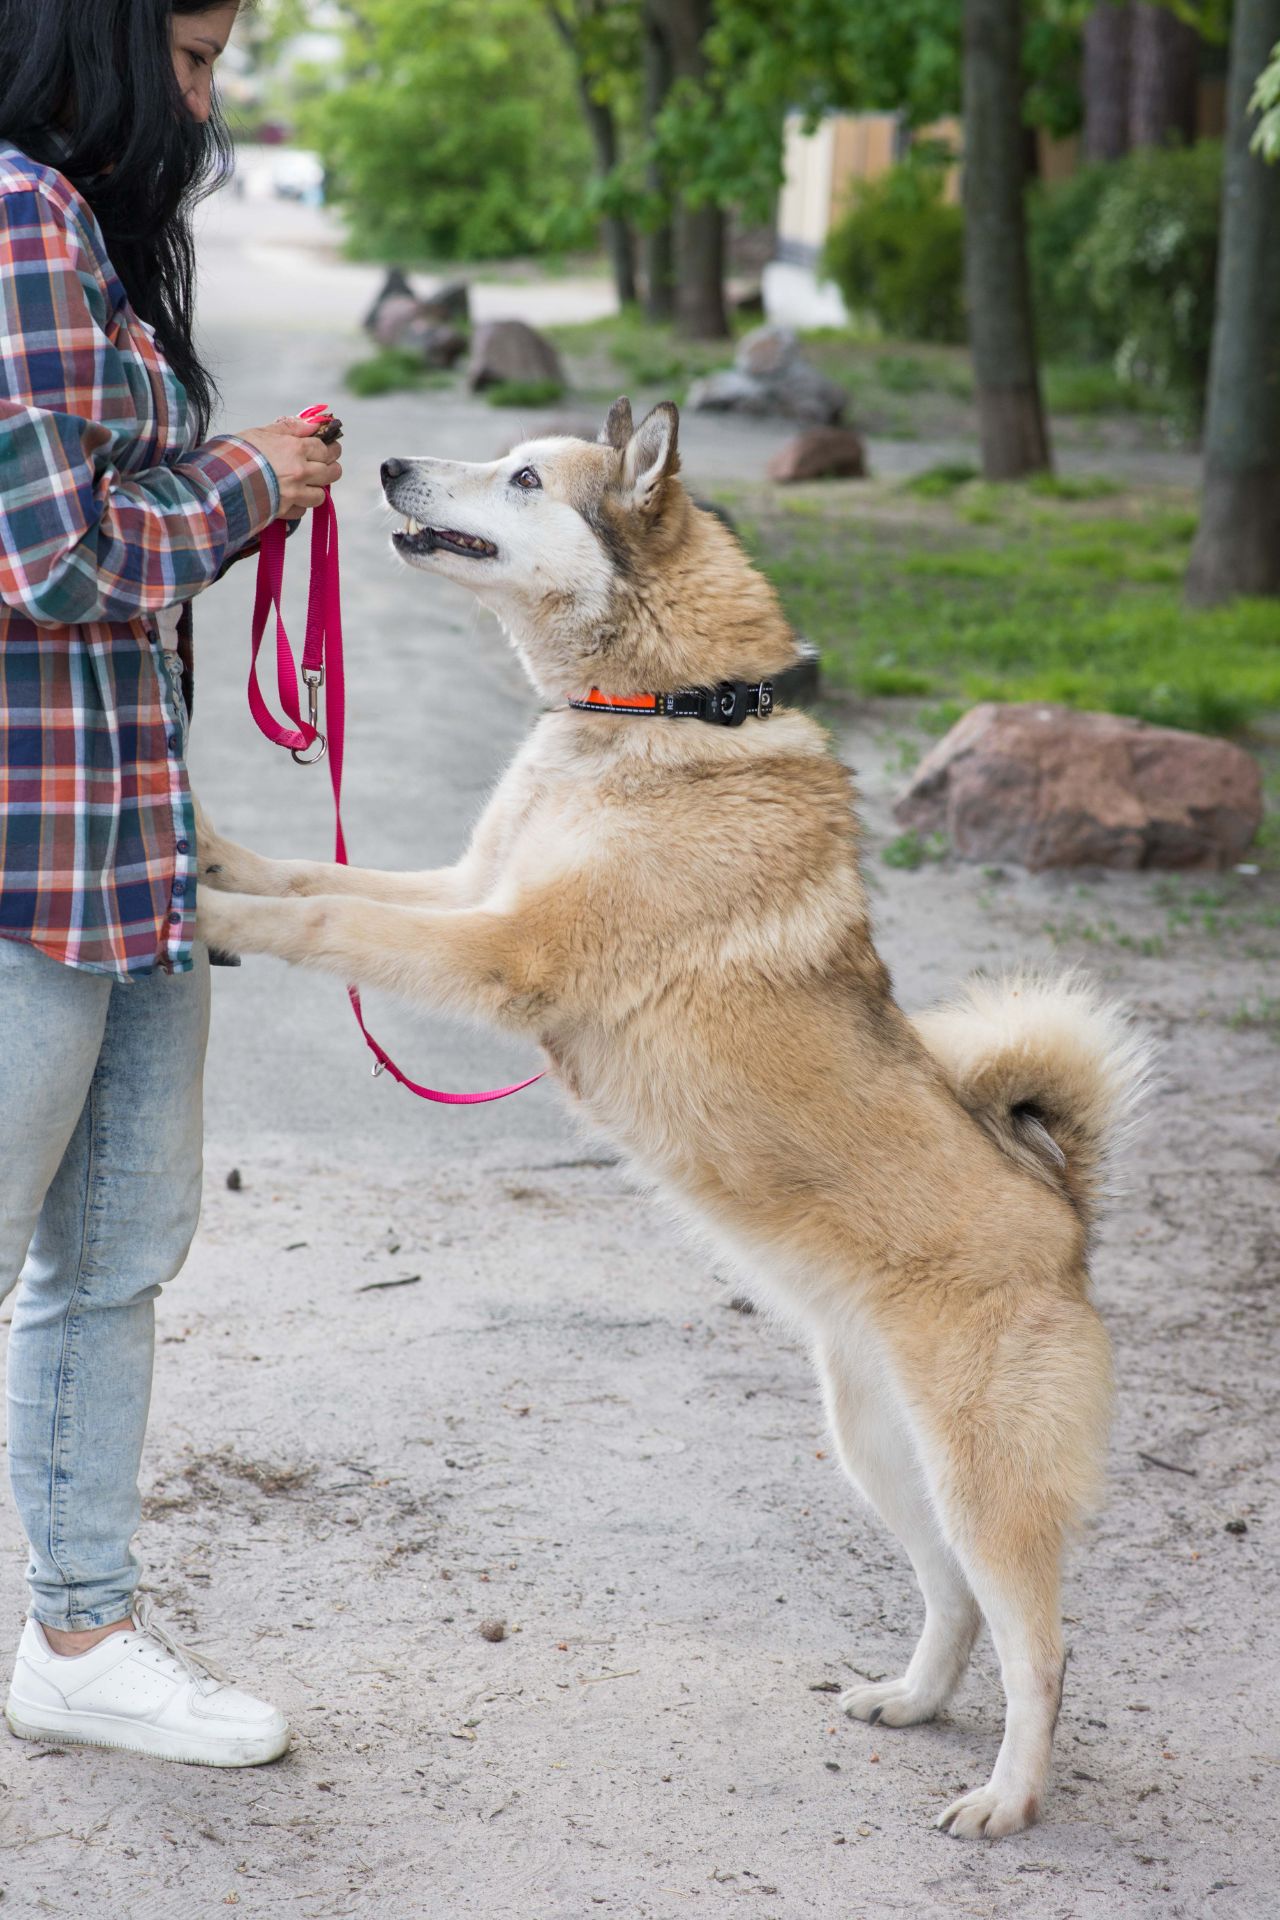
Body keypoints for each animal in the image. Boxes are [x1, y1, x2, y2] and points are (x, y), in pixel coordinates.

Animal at [197, 397, 1151, 1835]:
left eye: (523, 477)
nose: (384, 461)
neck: (664, 707)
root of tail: (1064, 1216)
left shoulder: (499, 946)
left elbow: (325, 919)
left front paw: (200, 907)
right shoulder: (467, 891)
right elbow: (320, 875)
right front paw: (201, 848)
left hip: (984, 1483)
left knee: (1039, 1646)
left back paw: (1005, 1797)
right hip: (882, 1456)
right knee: (953, 1606)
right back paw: (912, 1702)